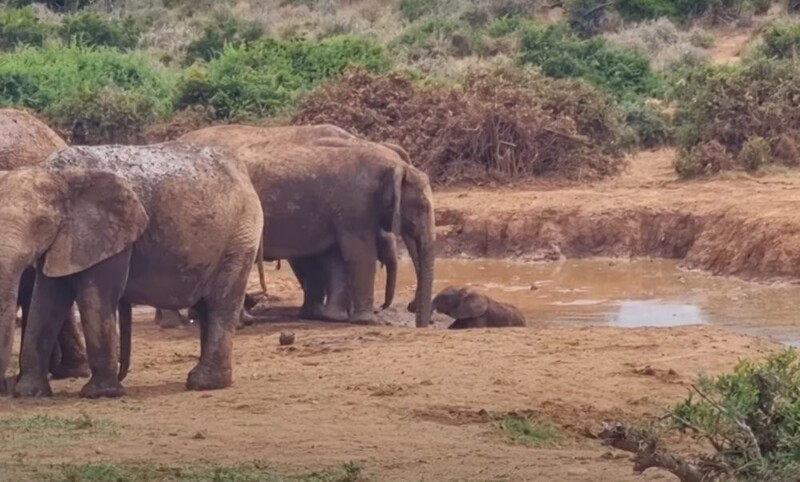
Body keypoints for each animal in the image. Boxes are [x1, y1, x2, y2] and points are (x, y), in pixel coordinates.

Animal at [3, 141, 266, 398]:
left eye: (42, 224)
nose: (5, 387)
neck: (58, 174)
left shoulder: (107, 236)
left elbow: (94, 296)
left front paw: (100, 394)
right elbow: (46, 300)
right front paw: (29, 393)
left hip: (240, 237)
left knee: (221, 302)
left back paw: (203, 384)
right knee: (206, 306)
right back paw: (202, 380)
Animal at [179, 126, 434, 326]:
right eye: (421, 206)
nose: (413, 310)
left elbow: (331, 258)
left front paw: (331, 317)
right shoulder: (354, 205)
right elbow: (358, 254)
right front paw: (367, 321)